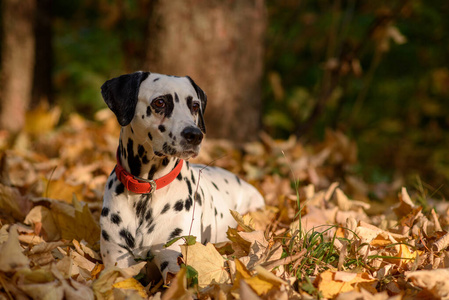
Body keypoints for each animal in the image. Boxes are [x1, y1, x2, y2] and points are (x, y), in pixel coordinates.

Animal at [100, 71, 264, 282]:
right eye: (160, 102)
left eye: (194, 105)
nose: (195, 135)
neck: (148, 190)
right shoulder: (117, 259)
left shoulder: (174, 256)